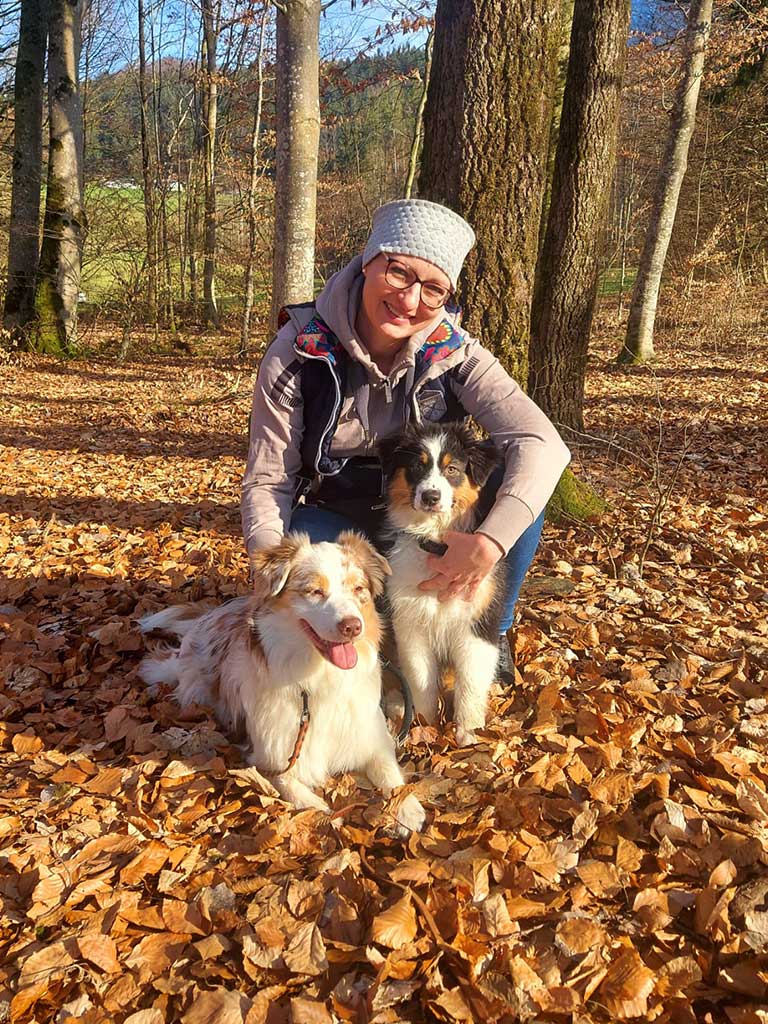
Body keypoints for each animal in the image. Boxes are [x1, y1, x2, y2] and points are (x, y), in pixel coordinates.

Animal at [376, 419, 505, 749]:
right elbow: (420, 675)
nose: (431, 497)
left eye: (452, 469)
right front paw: (423, 724)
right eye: (416, 467)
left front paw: (469, 733)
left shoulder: (477, 620)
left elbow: (471, 681)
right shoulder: (410, 621)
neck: (436, 543)